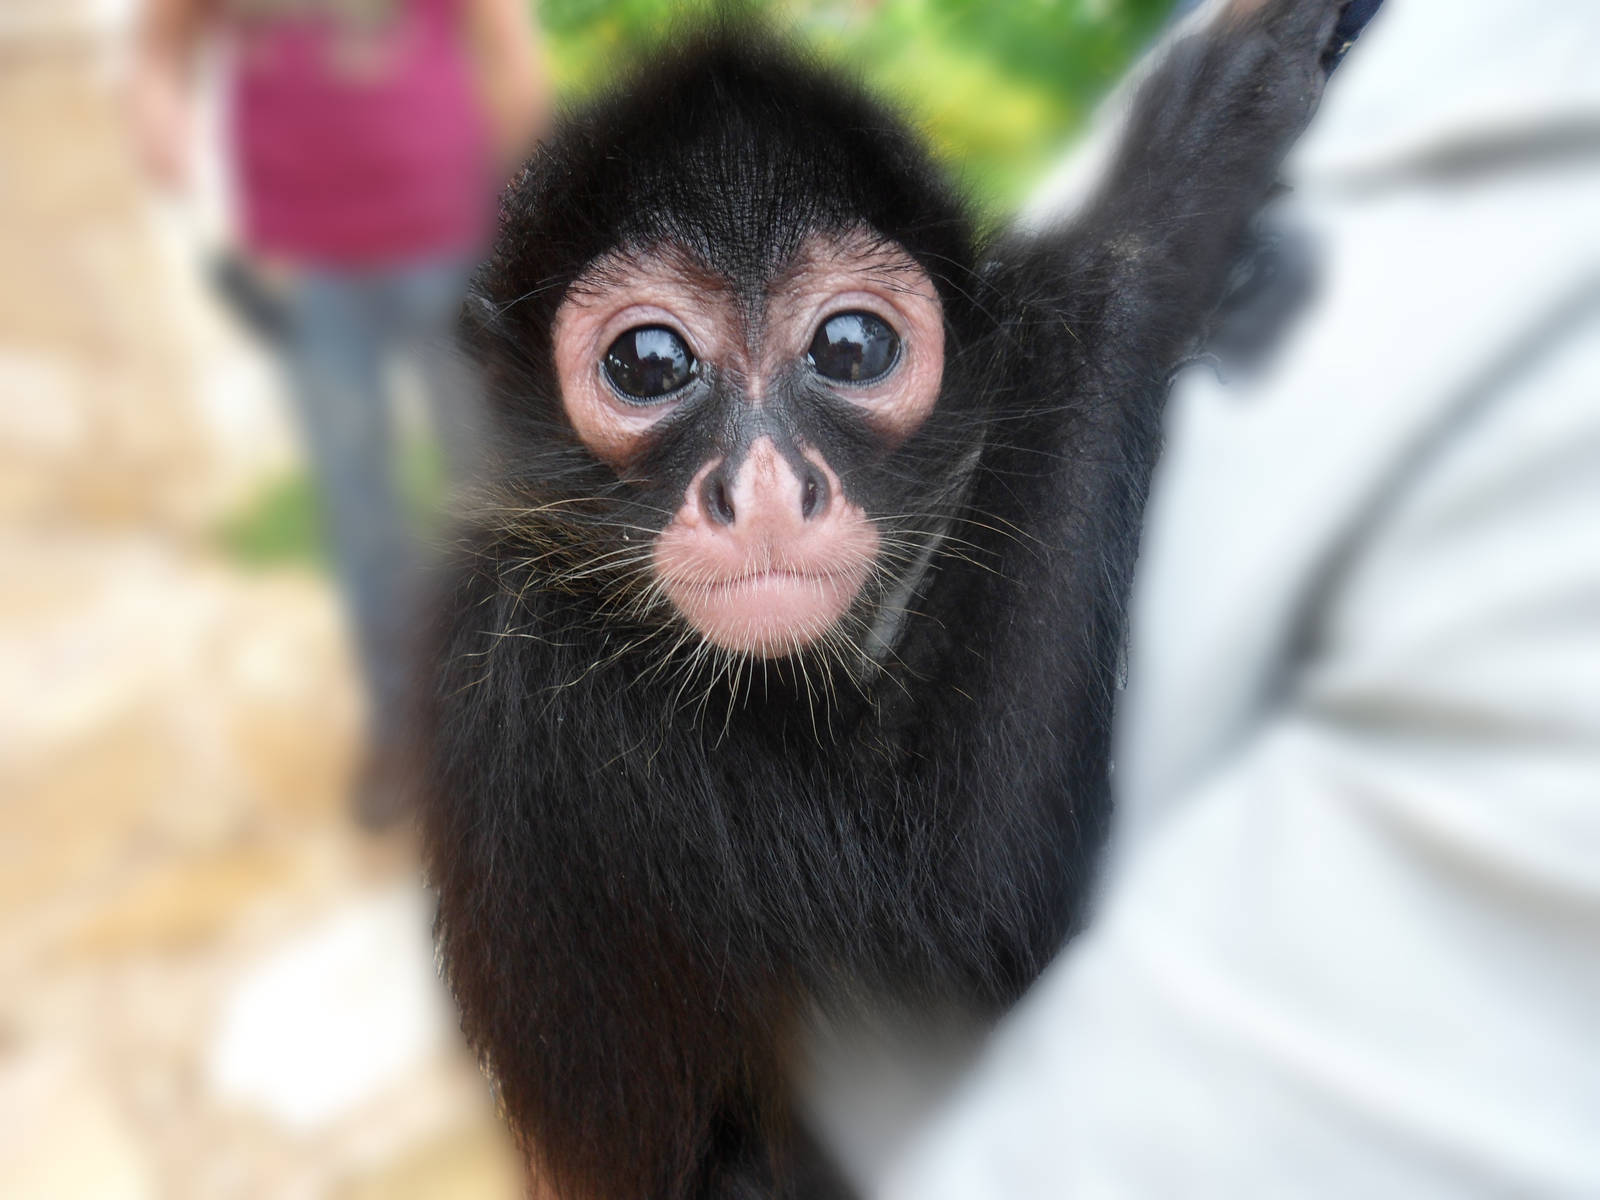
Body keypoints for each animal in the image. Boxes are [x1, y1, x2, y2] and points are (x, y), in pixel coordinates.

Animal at [413, 3, 1372, 1196]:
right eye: (648, 364)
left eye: (851, 346)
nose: (762, 488)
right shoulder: (537, 674)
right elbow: (980, 906)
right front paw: (1162, 190)